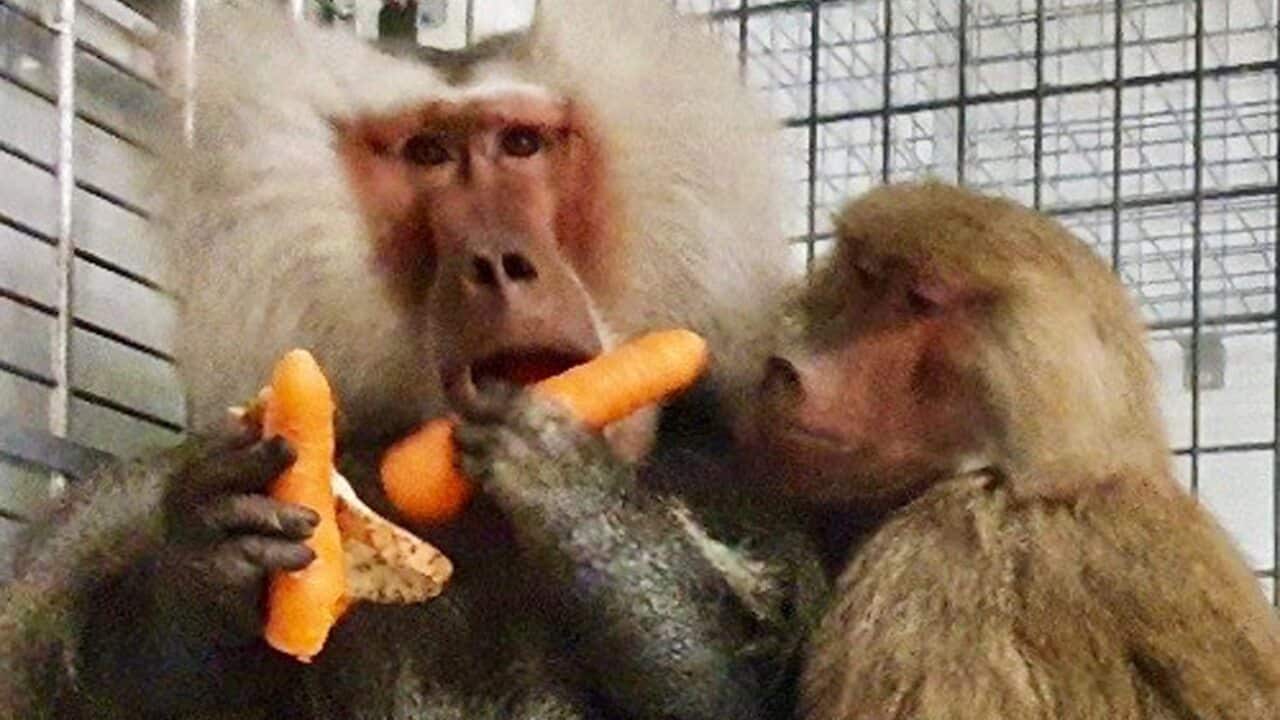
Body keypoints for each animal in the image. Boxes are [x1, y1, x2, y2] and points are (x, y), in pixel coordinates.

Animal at [0, 2, 828, 719]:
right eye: (429, 153)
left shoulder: (734, 483)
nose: (497, 262)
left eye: (520, 144)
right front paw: (211, 552)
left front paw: (573, 494)